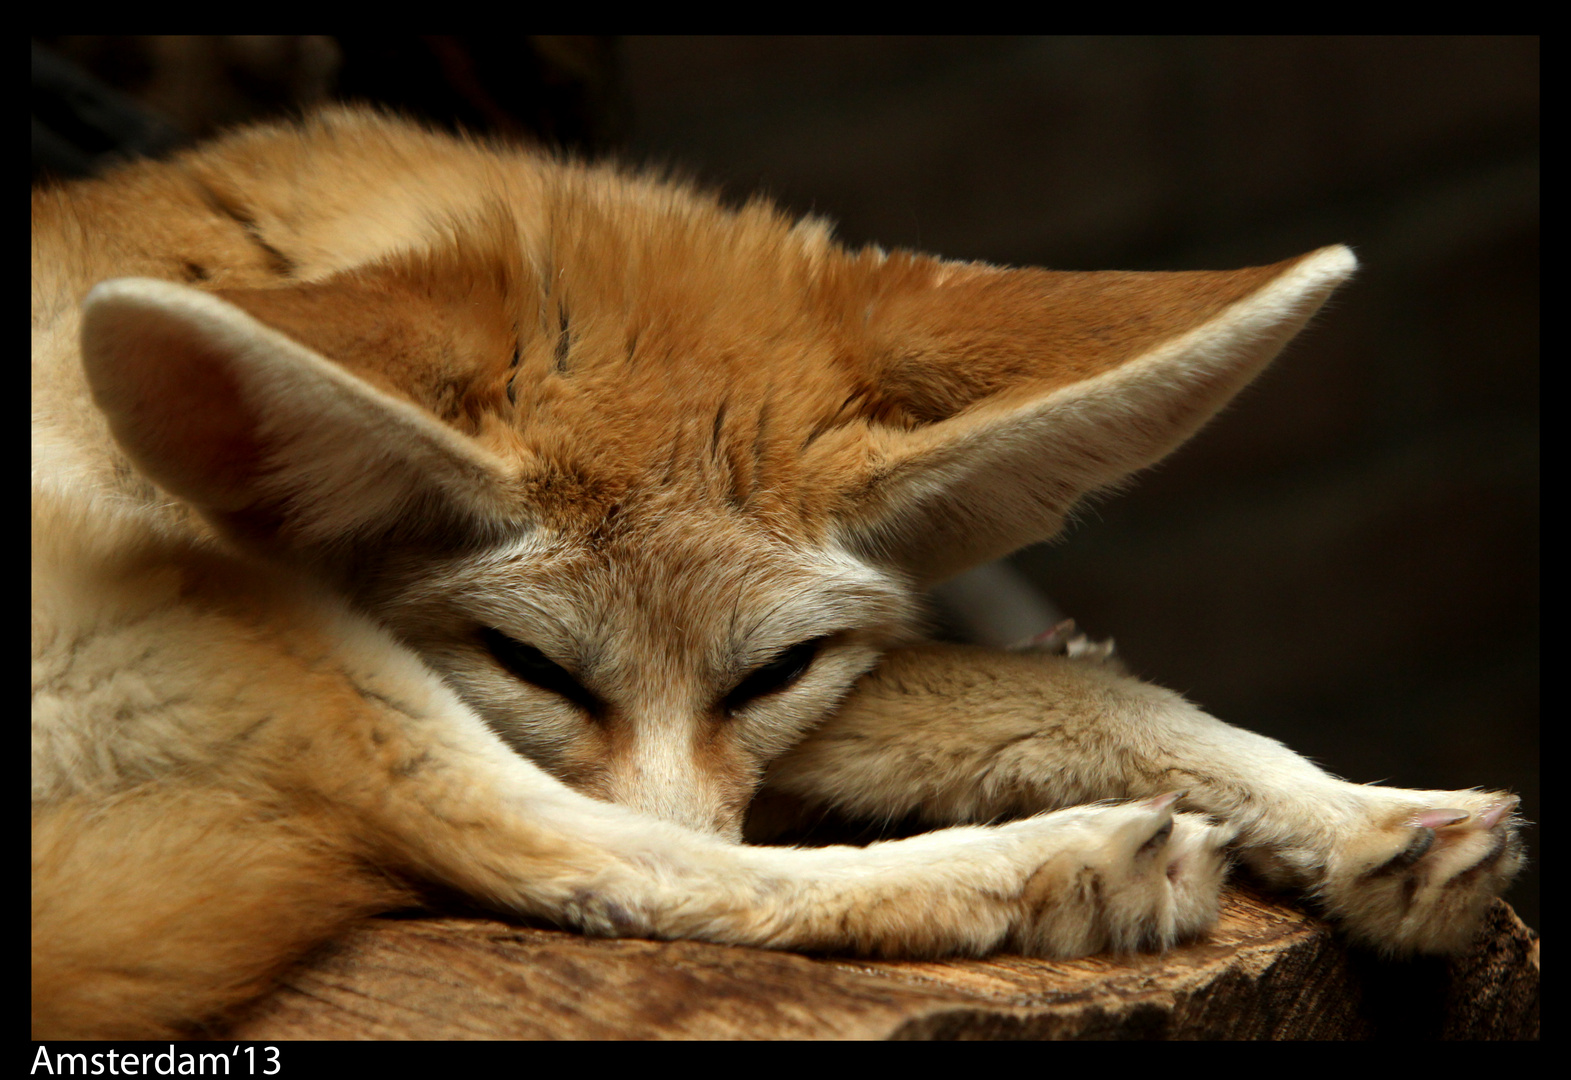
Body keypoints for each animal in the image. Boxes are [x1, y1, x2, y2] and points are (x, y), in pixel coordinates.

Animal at [27, 107, 1520, 1037]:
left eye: (773, 672)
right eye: (530, 664)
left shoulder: (786, 708)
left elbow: (1049, 700)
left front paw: (1369, 817)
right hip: (262, 631)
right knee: (563, 859)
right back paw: (1057, 867)